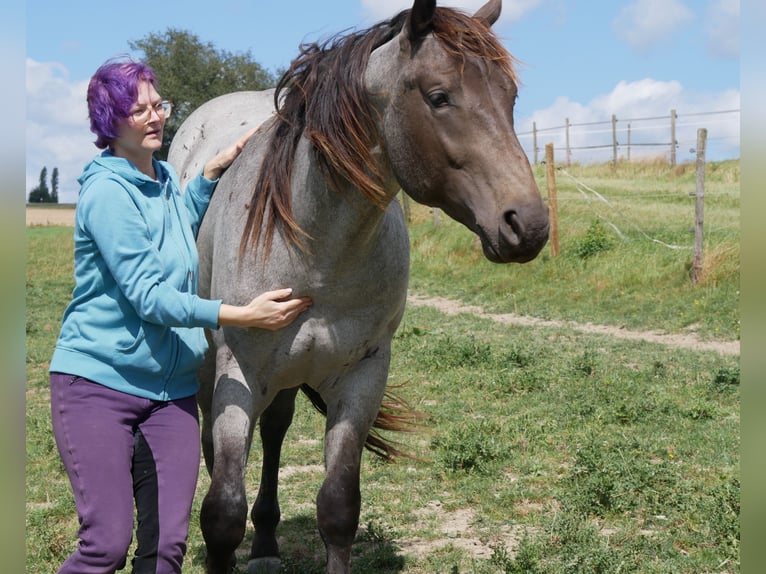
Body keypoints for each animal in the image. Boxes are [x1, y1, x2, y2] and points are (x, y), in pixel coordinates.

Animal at [171, 0, 548, 572]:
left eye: (510, 98)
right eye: (439, 97)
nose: (528, 224)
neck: (315, 247)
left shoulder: (362, 376)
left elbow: (337, 508)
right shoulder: (240, 371)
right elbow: (221, 514)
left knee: (275, 430)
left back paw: (266, 543)